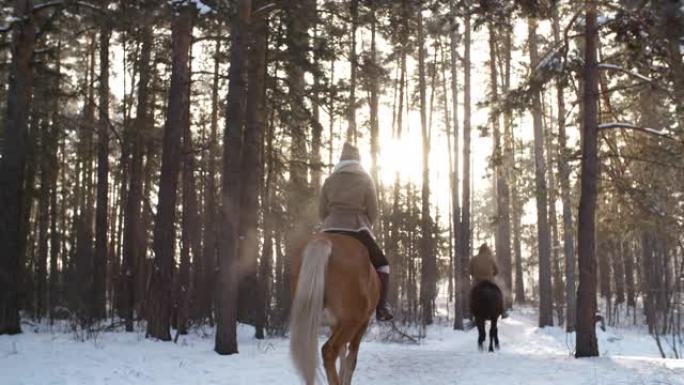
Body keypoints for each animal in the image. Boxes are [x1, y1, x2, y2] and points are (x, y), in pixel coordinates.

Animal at [288, 231, 380, 384]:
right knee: (329, 351)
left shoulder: (335, 324)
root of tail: (324, 240)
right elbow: (351, 360)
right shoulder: (362, 324)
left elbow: (343, 355)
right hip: (352, 323)